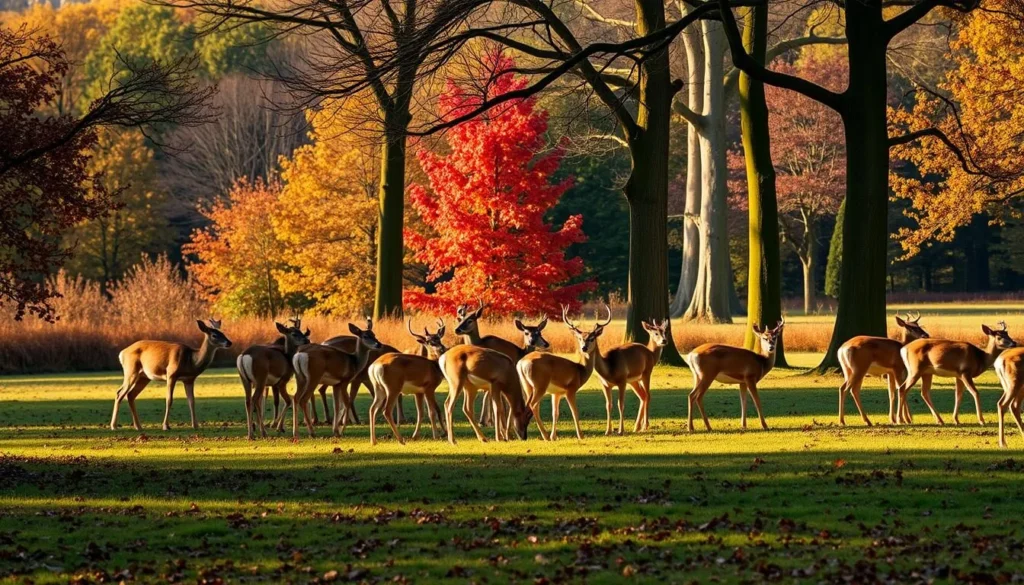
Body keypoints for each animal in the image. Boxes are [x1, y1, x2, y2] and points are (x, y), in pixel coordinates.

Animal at [517, 305, 611, 441]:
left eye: (591, 338)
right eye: (580, 338)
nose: (584, 348)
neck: (580, 371)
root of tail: (521, 363)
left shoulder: (556, 393)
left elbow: (555, 413)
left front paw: (554, 436)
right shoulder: (571, 389)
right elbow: (575, 412)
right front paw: (580, 435)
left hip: (527, 385)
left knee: (527, 406)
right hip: (540, 384)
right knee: (533, 405)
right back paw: (544, 436)